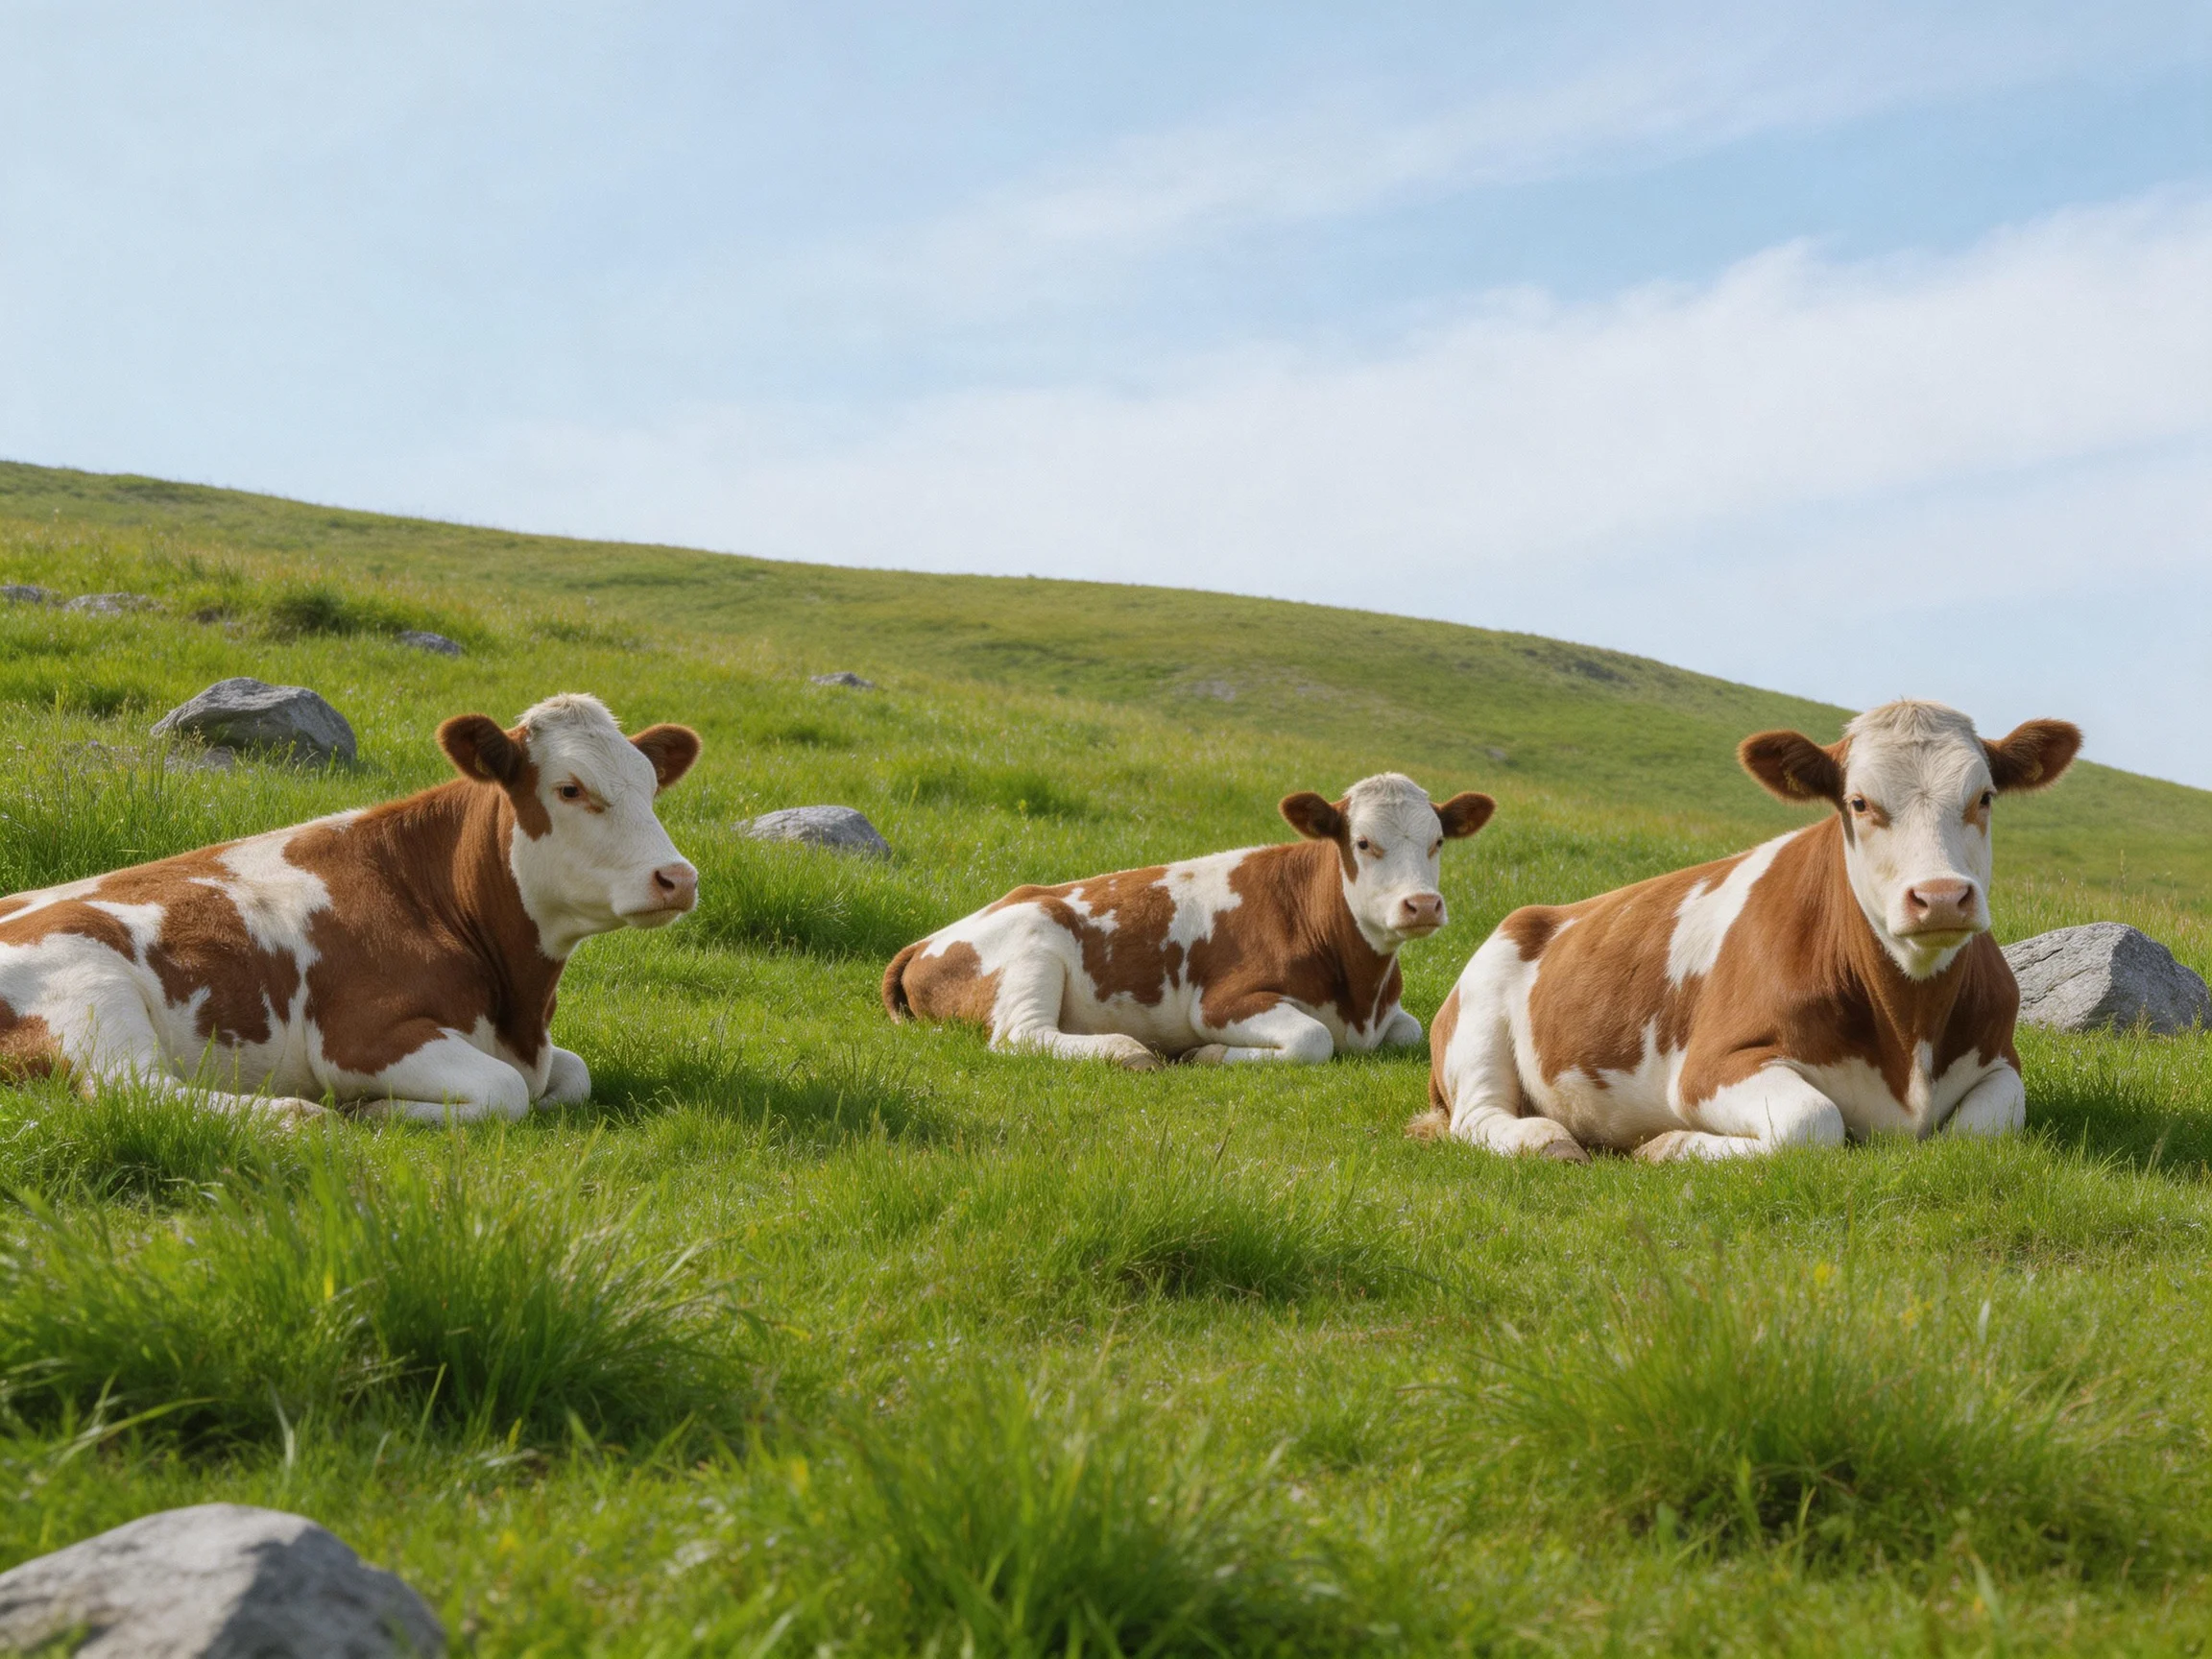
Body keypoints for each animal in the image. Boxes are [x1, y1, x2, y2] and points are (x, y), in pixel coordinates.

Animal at [0, 693, 700, 1123]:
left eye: (651, 788)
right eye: (570, 789)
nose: (678, 878)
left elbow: (572, 1076)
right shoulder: (359, 1038)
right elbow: (506, 1093)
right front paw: (371, 1111)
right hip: (88, 987)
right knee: (136, 1090)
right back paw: (299, 1118)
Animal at [883, 773, 1495, 1068]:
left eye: (1438, 842)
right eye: (1363, 843)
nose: (1421, 904)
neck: (1360, 992)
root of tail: (927, 939)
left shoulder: (1388, 1014)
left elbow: (1412, 1031)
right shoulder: (1221, 1003)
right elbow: (1312, 1040)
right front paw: (1206, 1054)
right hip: (1037, 935)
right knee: (1021, 1035)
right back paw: (1127, 1051)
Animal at [1414, 700, 2080, 1161]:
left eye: (1985, 796)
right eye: (1859, 803)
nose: (1940, 896)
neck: (1908, 1024)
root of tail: (1535, 914)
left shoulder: (2002, 1060)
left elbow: (1978, 1133)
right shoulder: (1709, 1067)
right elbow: (1813, 1122)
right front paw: (1669, 1145)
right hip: (1479, 1016)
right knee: (1479, 1116)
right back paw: (1546, 1139)